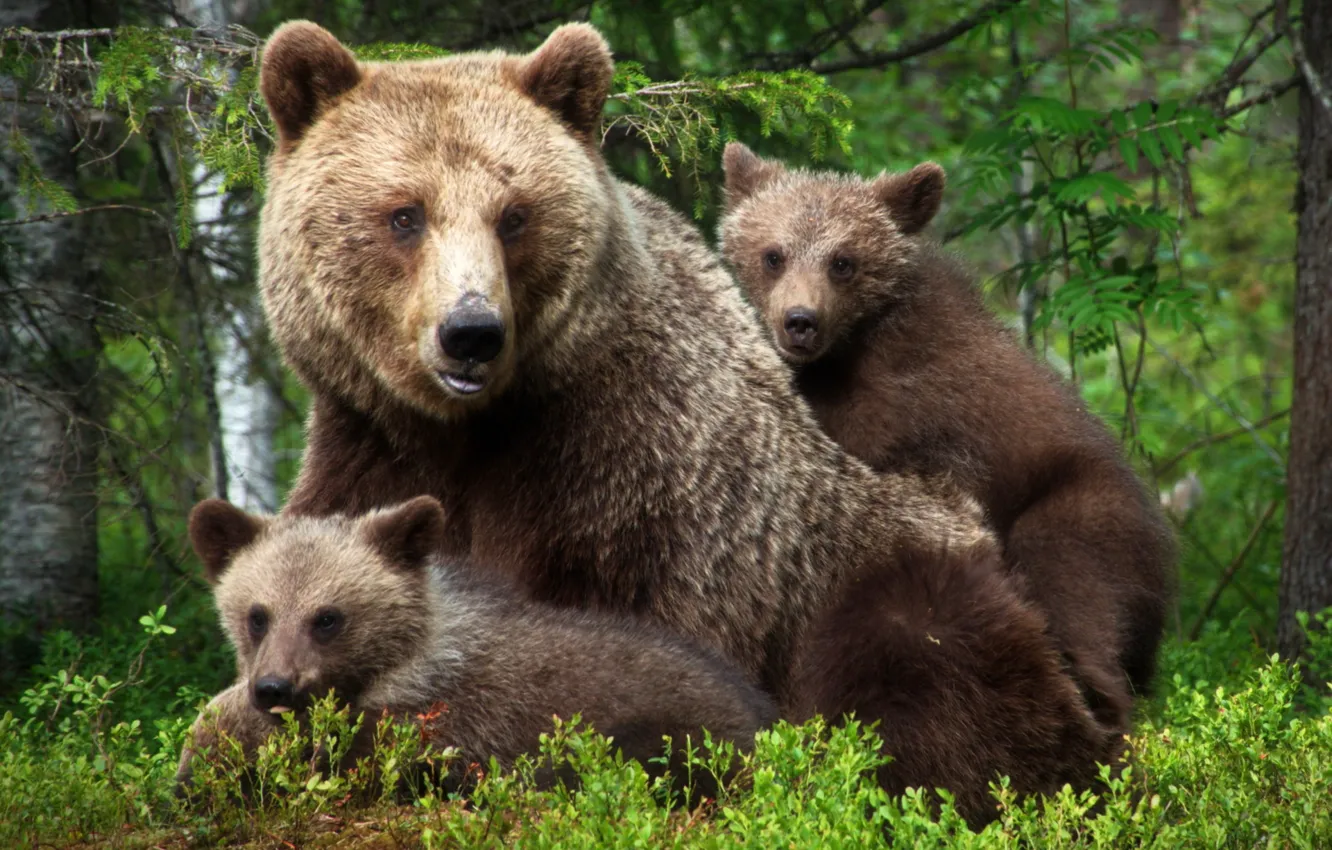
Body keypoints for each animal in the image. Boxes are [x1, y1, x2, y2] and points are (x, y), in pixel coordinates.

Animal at [718, 143, 1177, 743]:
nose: (800, 321)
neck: (849, 356)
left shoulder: (933, 418)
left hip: (1087, 512)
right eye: (773, 254)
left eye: (843, 260)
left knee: (1080, 590)